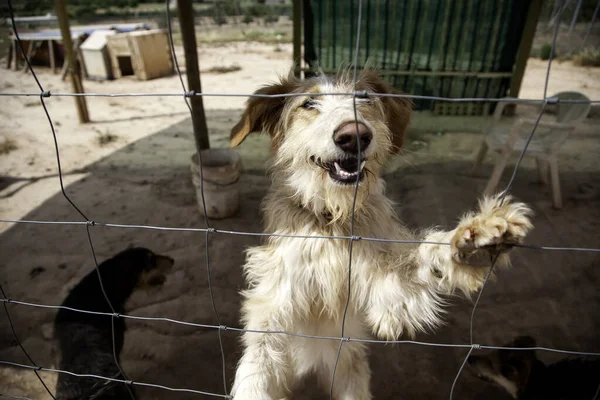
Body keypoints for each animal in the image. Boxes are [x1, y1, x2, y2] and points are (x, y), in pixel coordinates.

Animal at [230, 70, 536, 398]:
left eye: (363, 98)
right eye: (309, 103)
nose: (354, 135)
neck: (331, 220)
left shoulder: (390, 293)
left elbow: (423, 260)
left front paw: (474, 242)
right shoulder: (272, 308)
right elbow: (257, 365)